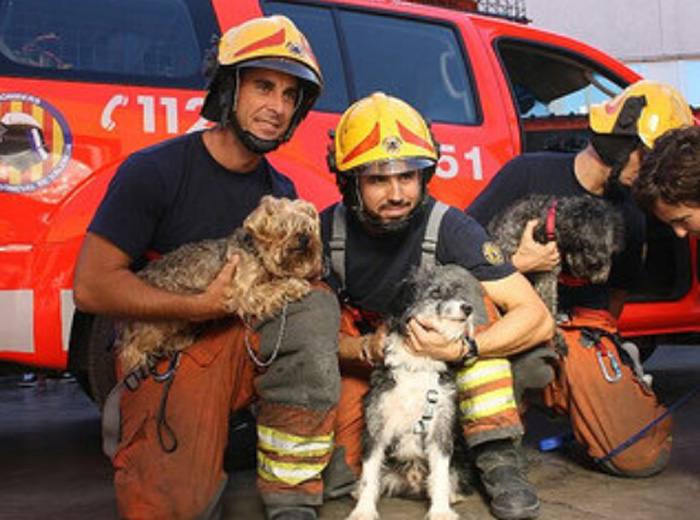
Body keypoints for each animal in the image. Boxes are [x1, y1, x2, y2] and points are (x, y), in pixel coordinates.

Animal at [117, 194, 322, 370]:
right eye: (282, 227)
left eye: (308, 227)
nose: (304, 237)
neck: (258, 253)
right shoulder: (244, 293)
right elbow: (272, 287)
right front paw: (295, 284)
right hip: (158, 322)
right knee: (132, 350)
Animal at [348, 264, 490, 520]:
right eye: (435, 293)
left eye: (459, 292)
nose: (468, 308)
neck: (418, 363)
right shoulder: (376, 424)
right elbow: (369, 476)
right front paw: (363, 510)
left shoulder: (441, 428)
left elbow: (440, 475)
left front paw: (441, 511)